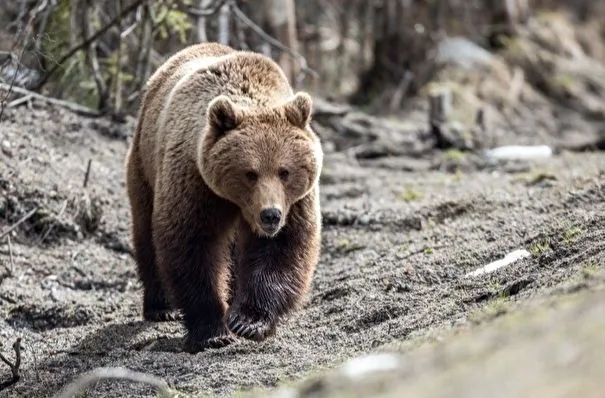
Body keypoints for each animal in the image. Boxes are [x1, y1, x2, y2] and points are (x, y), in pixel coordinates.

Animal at [124, 42, 324, 352]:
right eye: (250, 173)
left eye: (285, 172)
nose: (270, 215)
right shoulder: (195, 182)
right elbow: (192, 245)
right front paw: (212, 331)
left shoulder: (296, 202)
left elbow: (284, 246)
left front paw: (248, 321)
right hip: (145, 164)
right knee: (145, 231)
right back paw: (161, 307)